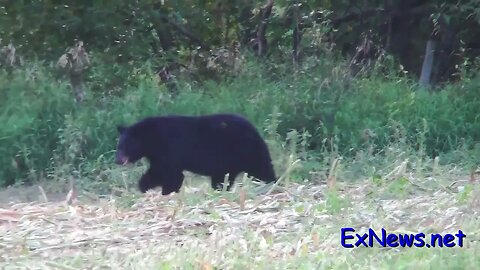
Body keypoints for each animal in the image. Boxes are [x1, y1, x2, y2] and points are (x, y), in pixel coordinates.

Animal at [114, 113, 276, 195]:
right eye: (119, 146)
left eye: (124, 146)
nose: (118, 160)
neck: (152, 138)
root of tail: (254, 130)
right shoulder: (159, 154)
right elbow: (159, 171)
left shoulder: (169, 149)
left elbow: (167, 173)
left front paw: (163, 191)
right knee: (223, 178)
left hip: (245, 151)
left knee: (262, 168)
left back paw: (272, 184)